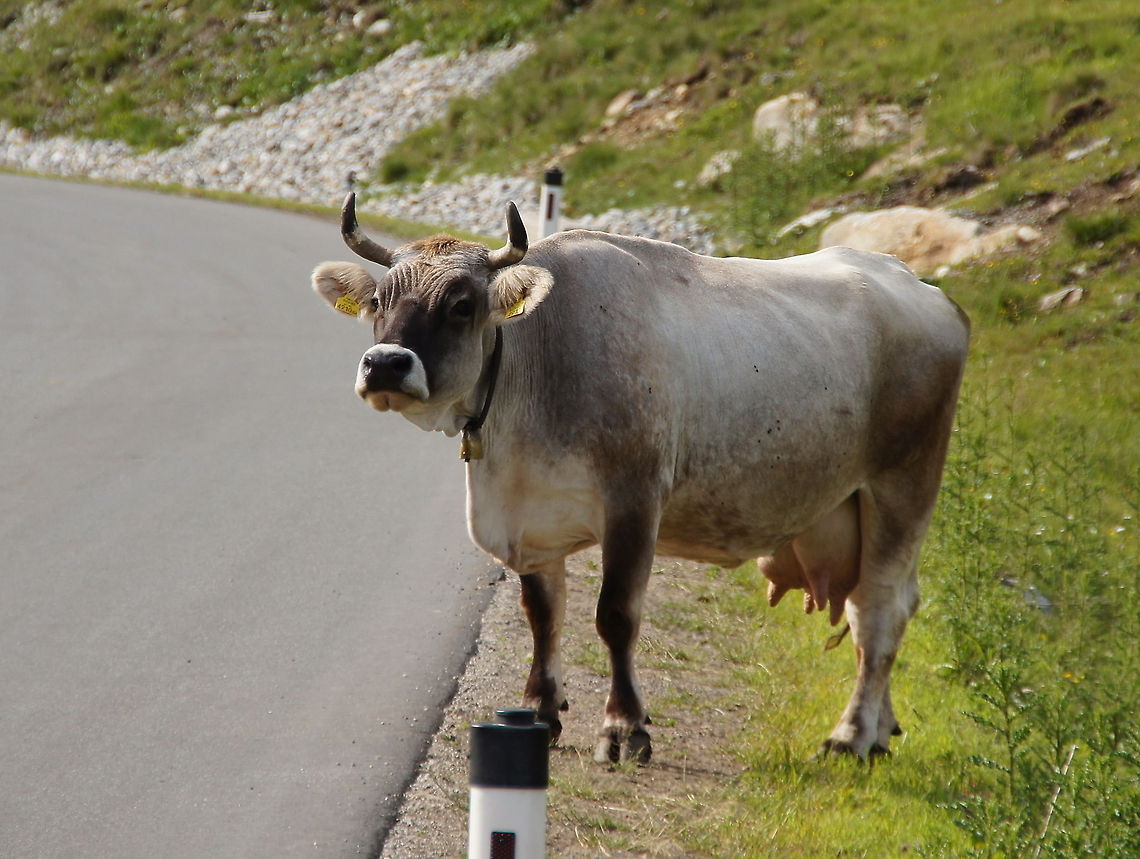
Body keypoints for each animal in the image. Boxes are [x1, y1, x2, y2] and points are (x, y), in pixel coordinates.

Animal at [311, 193, 969, 763]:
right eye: (379, 302)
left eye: (461, 305)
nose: (385, 365)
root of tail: (922, 287)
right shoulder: (529, 517)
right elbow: (542, 613)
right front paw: (542, 711)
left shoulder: (633, 500)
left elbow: (615, 615)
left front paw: (625, 727)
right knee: (892, 604)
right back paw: (881, 729)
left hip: (903, 486)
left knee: (879, 609)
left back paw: (851, 735)